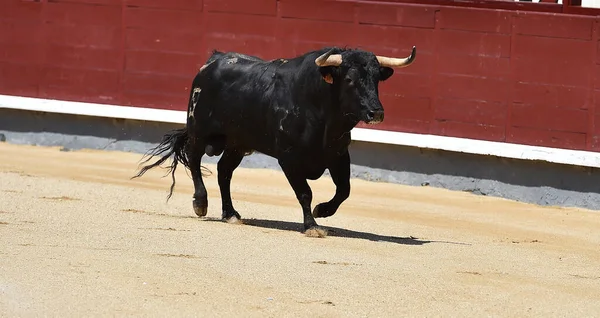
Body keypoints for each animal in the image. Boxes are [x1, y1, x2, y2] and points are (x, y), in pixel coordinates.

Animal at [133, 46, 414, 237]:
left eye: (376, 79)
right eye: (349, 79)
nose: (376, 112)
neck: (321, 109)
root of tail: (213, 59)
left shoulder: (338, 155)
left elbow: (344, 189)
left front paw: (323, 211)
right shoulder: (289, 158)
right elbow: (305, 192)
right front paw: (312, 226)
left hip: (237, 143)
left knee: (224, 172)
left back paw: (230, 214)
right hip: (199, 130)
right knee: (194, 160)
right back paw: (201, 203)